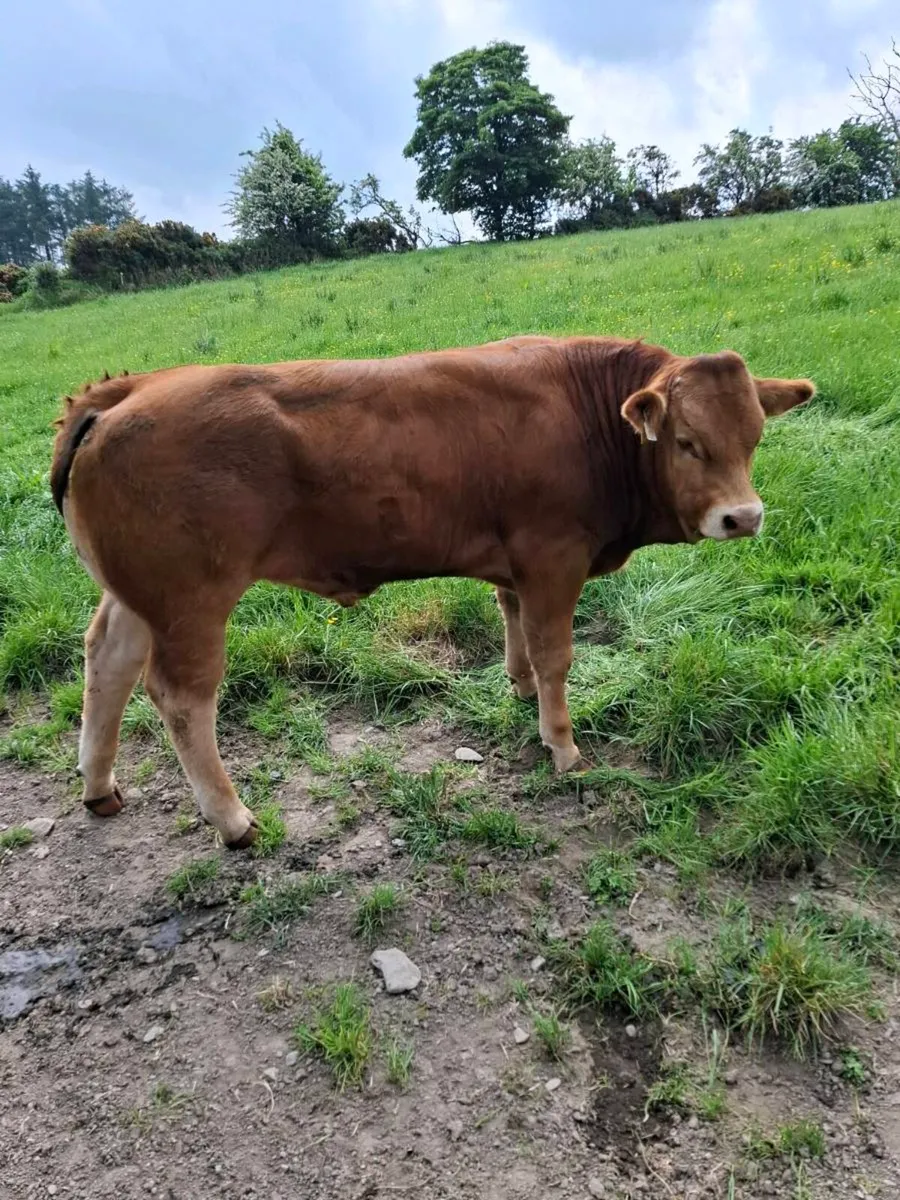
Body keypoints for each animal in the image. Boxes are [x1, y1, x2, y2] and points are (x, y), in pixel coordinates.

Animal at [50, 335, 814, 849]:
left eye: (754, 436)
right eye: (687, 442)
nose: (743, 517)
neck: (586, 414)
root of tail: (133, 389)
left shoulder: (518, 564)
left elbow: (516, 626)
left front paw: (519, 688)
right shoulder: (554, 557)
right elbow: (556, 653)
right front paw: (562, 745)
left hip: (139, 597)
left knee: (106, 661)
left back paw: (99, 787)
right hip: (191, 603)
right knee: (182, 698)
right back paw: (232, 818)